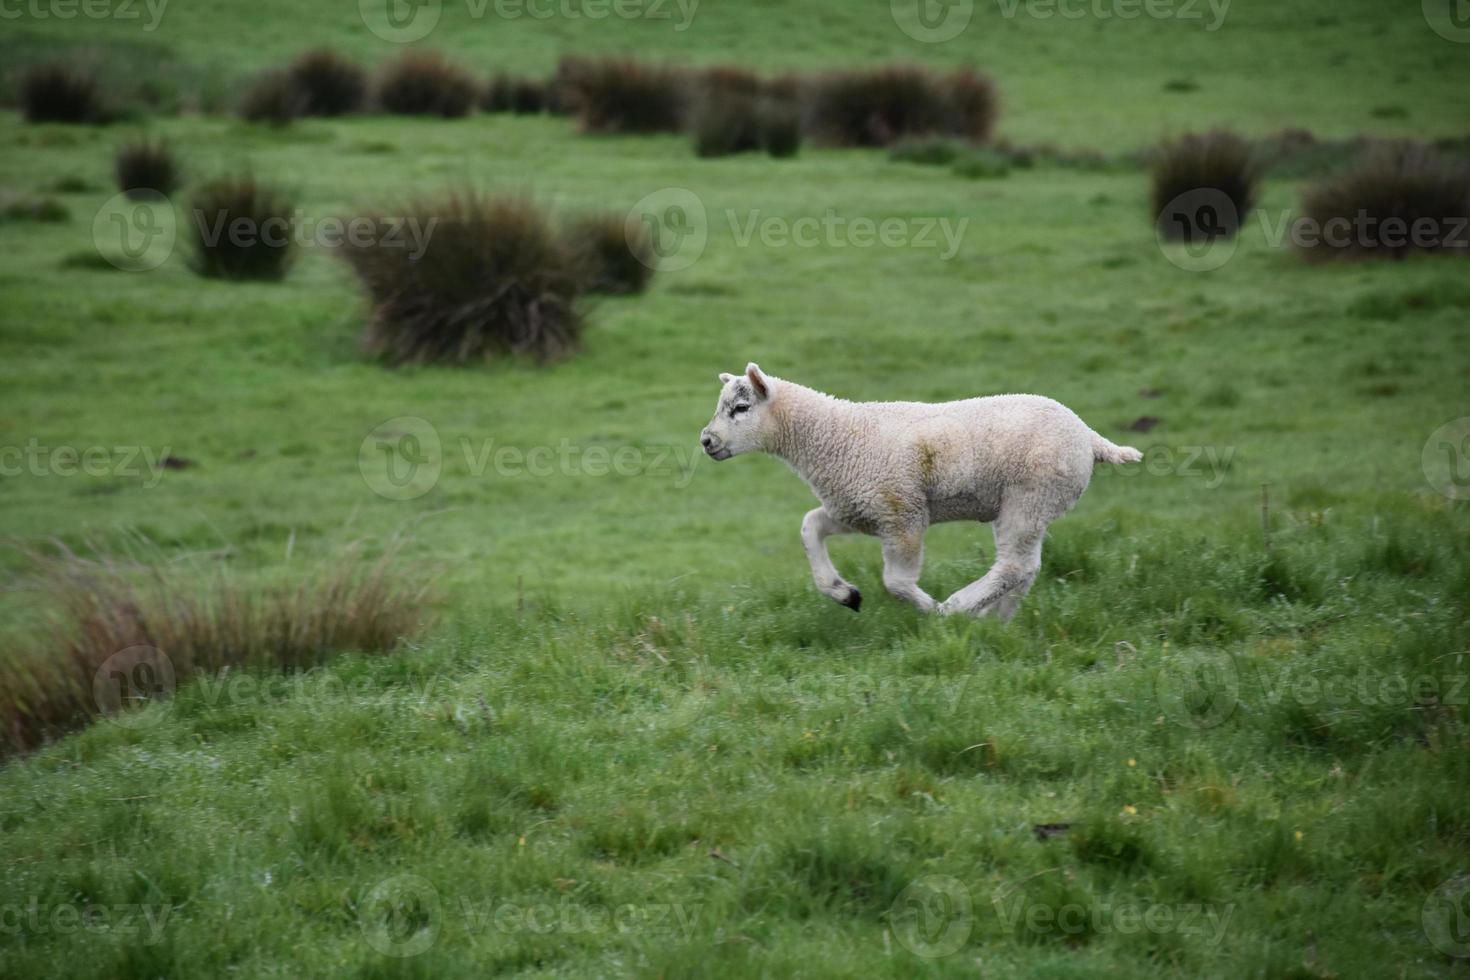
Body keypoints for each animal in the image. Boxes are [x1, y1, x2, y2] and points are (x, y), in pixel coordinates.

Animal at [702, 359, 1146, 620]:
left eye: (740, 408)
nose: (706, 441)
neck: (835, 436)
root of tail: (1088, 435)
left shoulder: (902, 512)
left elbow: (896, 582)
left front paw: (930, 610)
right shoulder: (858, 508)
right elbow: (810, 527)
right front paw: (845, 594)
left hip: (1030, 496)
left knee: (1013, 567)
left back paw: (960, 607)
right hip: (1031, 504)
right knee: (1026, 568)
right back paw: (995, 619)